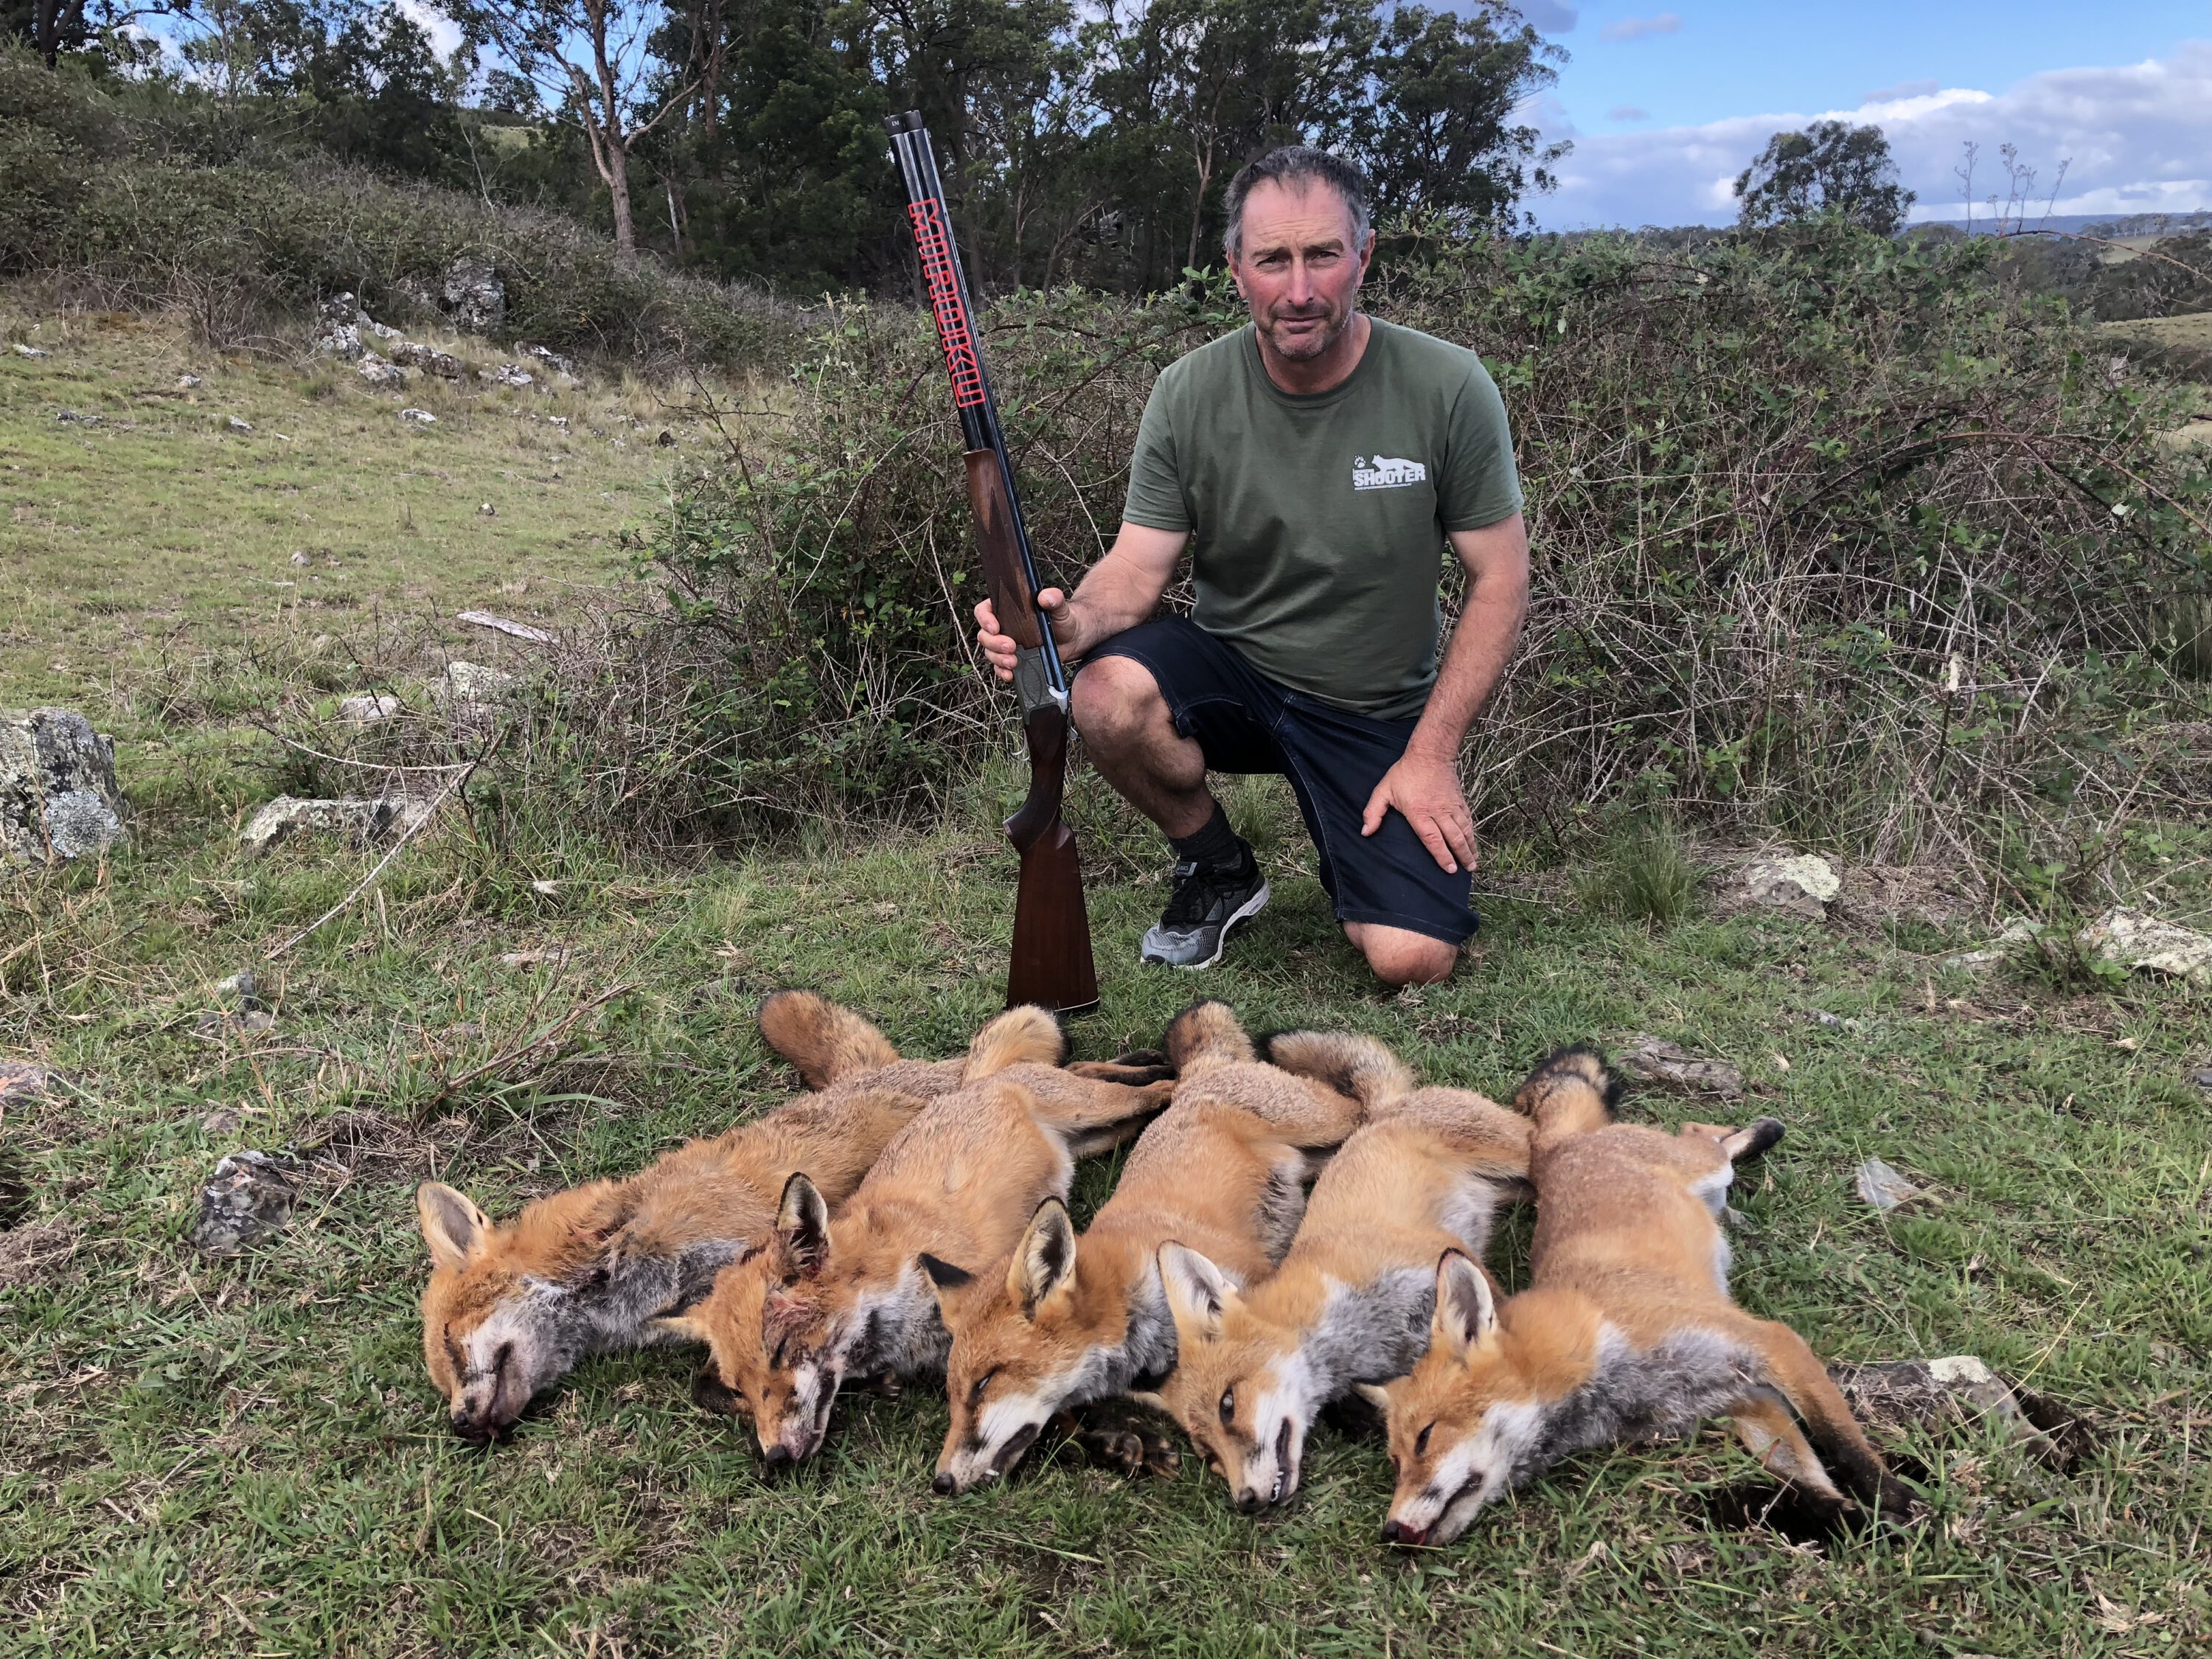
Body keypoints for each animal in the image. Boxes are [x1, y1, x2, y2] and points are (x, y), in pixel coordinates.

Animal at [664, 1009, 1177, 1478]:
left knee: (1150, 1092)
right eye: (739, 1390)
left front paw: (1119, 1435)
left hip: (1097, 1108)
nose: (773, 1459)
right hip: (1098, 1136)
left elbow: (1054, 1374)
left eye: (780, 1351)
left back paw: (1165, 1070)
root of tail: (975, 1085)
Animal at [920, 1009, 1371, 1504]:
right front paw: (1122, 1443)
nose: (941, 1482)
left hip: (1326, 1123)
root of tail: (1203, 1072)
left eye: (984, 1382)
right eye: (952, 1394)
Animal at [1380, 1053, 1902, 1548]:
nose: (1389, 1531)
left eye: (1425, 1438)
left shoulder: (1771, 1343)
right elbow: (1809, 1480)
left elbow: (1845, 1446)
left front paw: (1898, 1502)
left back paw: (1765, 1130)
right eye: (1397, 1460)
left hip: (1704, 1165)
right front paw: (1859, 1520)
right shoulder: (1745, 1401)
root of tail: (1555, 1150)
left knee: (1701, 1132)